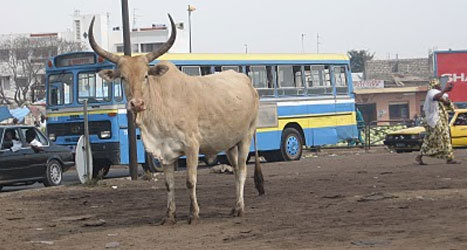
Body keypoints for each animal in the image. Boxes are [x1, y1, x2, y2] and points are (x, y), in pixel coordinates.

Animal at [88, 14, 264, 225]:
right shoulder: (164, 151)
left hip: (246, 137)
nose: (137, 104)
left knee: (243, 170)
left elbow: (190, 181)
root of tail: (249, 83)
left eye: (146, 75)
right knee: (236, 170)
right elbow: (168, 184)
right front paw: (169, 215)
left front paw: (193, 213)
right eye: (122, 77)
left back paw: (239, 208)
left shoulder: (192, 146)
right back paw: (233, 207)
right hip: (230, 143)